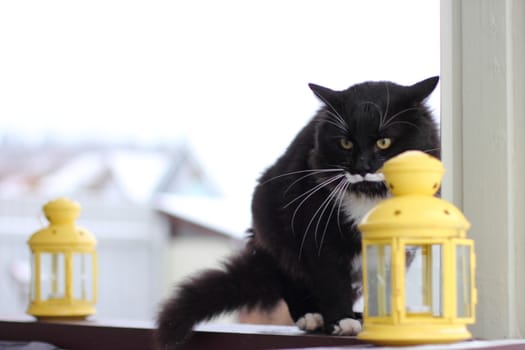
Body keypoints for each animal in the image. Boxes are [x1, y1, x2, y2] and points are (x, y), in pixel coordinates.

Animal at [155, 76, 438, 348]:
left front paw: (385, 320)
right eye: (346, 143)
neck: (369, 193)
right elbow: (332, 280)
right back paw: (312, 316)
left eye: (384, 142)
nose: (362, 167)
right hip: (276, 227)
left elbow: (387, 281)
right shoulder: (315, 229)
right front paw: (342, 321)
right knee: (289, 274)